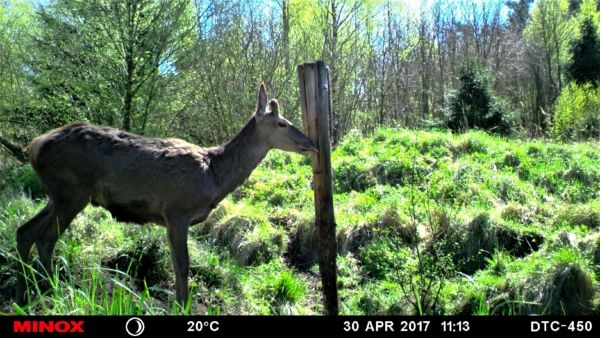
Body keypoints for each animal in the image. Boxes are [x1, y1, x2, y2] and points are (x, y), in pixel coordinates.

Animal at [15, 84, 318, 306]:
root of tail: (33, 146)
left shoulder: (172, 217)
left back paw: (27, 293)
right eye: (282, 123)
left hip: (57, 194)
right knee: (45, 239)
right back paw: (50, 293)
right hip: (72, 191)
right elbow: (183, 264)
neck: (215, 176)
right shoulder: (177, 210)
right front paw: (182, 305)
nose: (311, 143)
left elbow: (175, 263)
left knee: (25, 231)